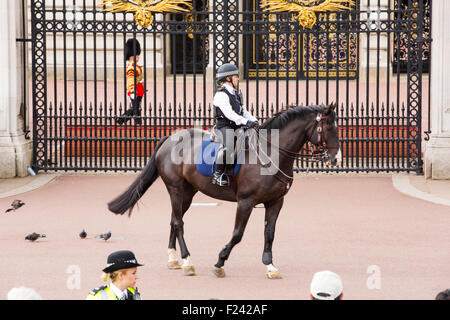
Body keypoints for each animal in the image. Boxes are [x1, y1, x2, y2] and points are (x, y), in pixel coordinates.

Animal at [108, 103, 342, 278]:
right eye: (329, 127)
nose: (337, 158)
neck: (271, 154)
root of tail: (171, 138)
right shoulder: (246, 202)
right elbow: (238, 234)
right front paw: (220, 261)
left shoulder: (276, 202)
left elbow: (269, 233)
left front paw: (270, 265)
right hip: (175, 189)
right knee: (178, 223)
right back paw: (187, 260)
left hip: (187, 193)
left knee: (174, 220)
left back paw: (174, 259)